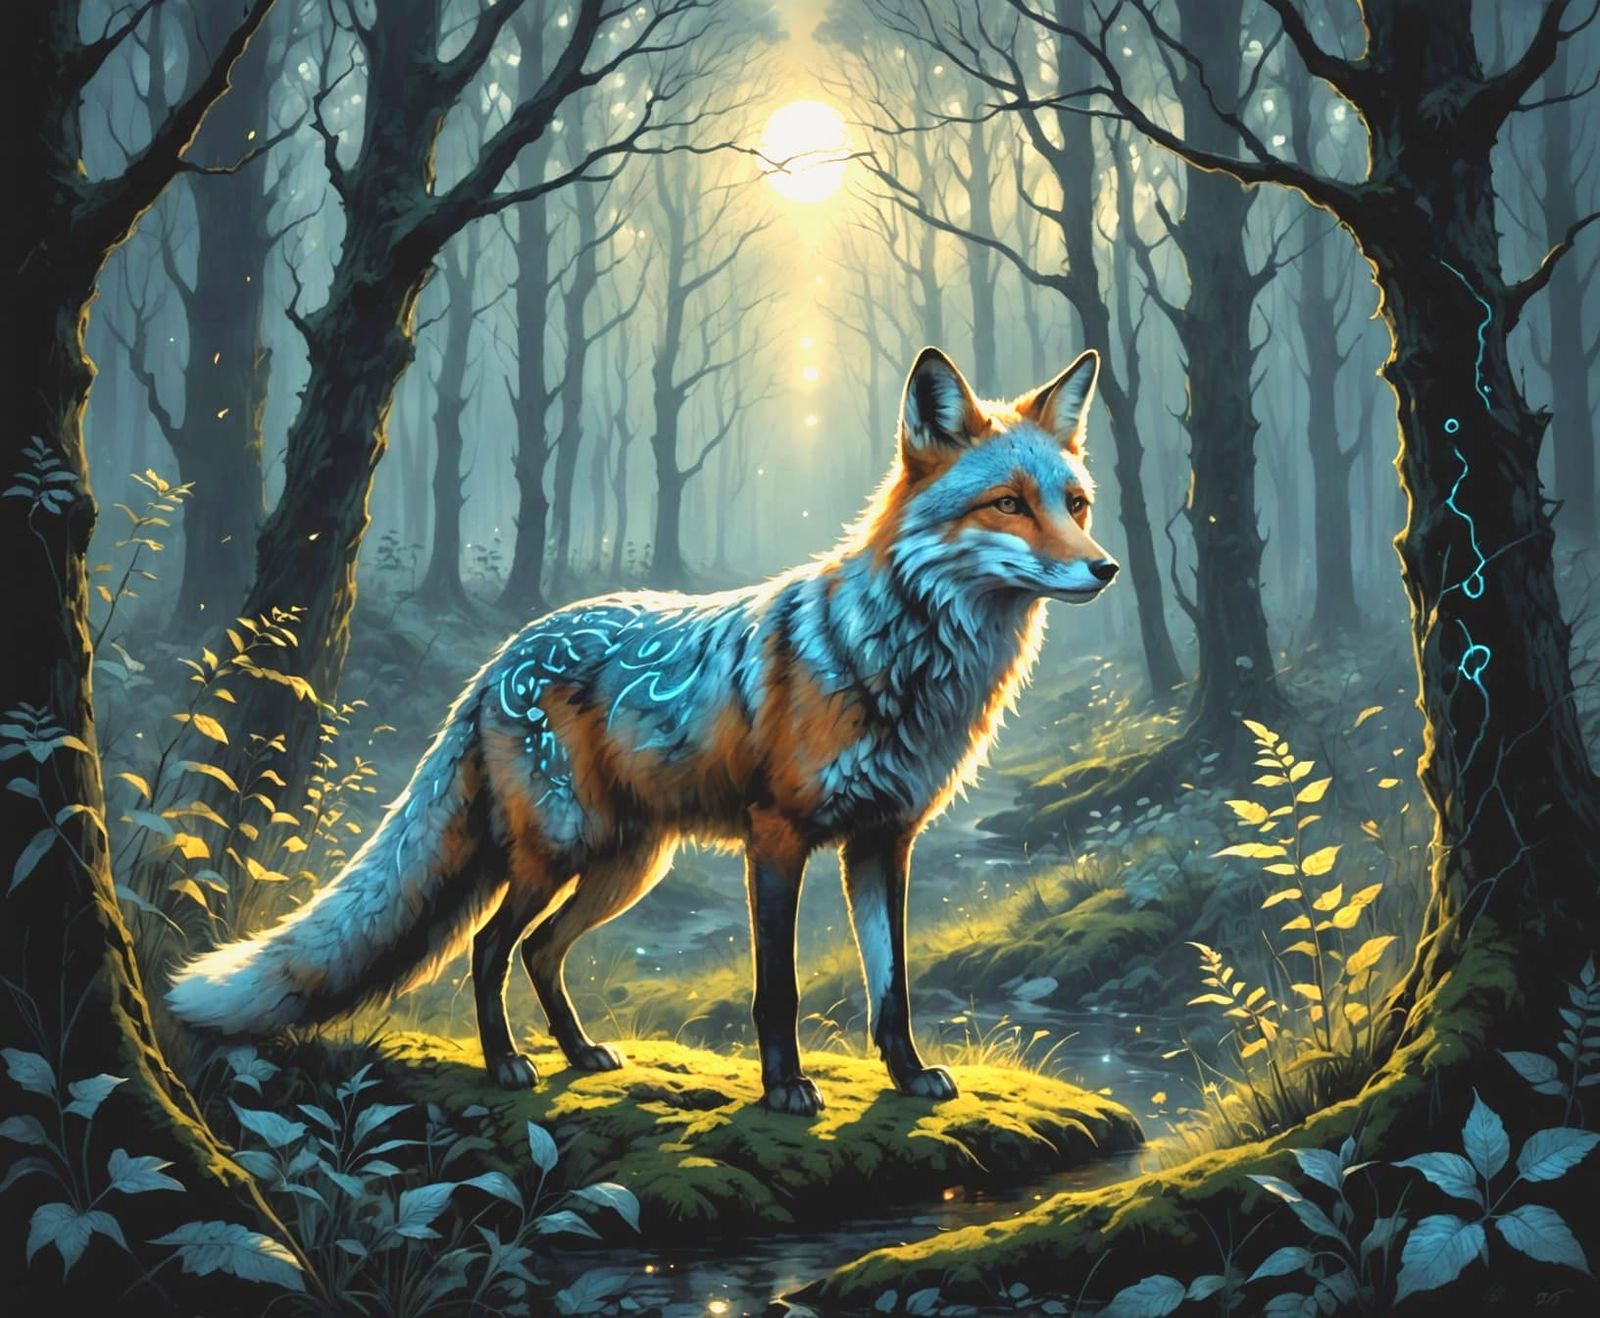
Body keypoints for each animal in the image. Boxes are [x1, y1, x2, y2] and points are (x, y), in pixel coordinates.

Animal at [167, 346, 1118, 1115]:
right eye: (1008, 504)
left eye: (1075, 504)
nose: (1105, 568)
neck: (901, 662)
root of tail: (498, 659)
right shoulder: (777, 837)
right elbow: (778, 989)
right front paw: (784, 1088)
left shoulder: (884, 840)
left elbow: (894, 989)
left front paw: (908, 1075)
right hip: (558, 852)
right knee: (488, 947)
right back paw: (506, 1063)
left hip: (624, 866)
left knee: (540, 952)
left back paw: (580, 1052)